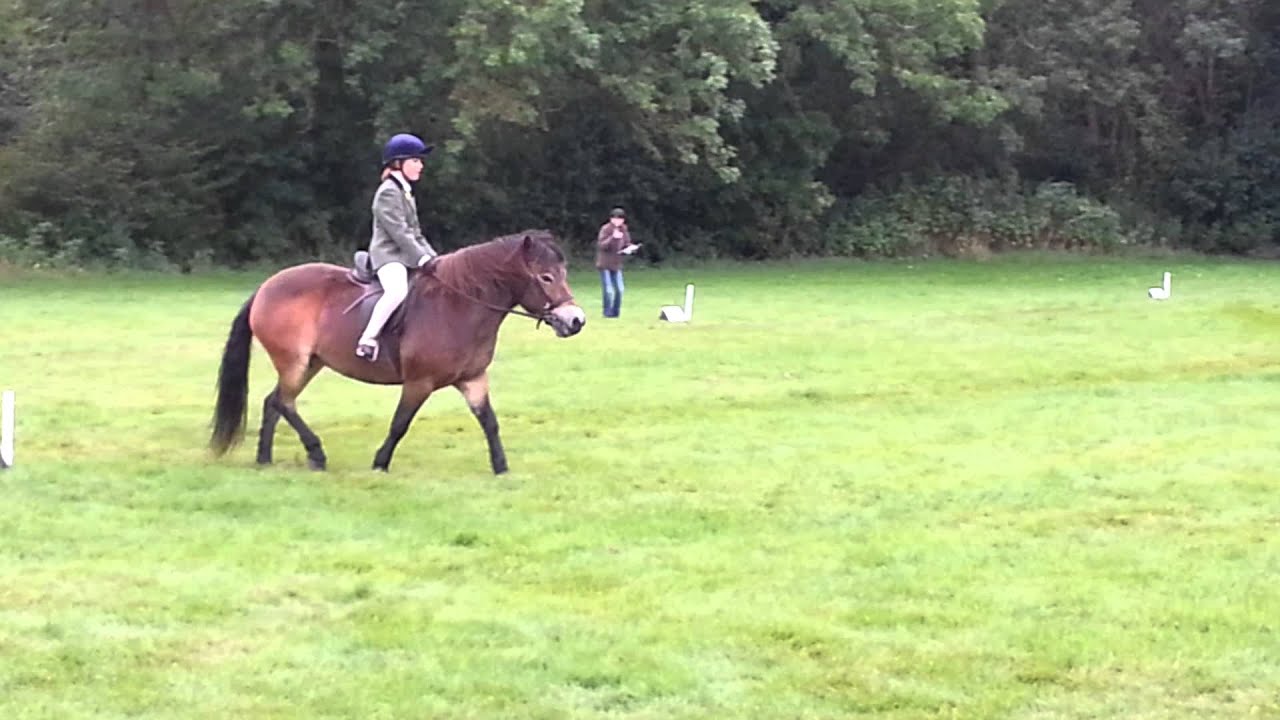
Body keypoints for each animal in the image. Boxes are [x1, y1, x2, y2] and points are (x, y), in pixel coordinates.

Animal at [208, 229, 586, 474]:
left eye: (563, 272)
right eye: (546, 277)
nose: (576, 320)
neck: (460, 305)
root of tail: (266, 286)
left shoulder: (473, 379)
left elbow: (489, 422)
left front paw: (501, 468)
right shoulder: (419, 382)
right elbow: (399, 424)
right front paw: (380, 463)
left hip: (310, 364)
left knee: (274, 402)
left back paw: (265, 459)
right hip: (293, 362)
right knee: (283, 402)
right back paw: (316, 454)